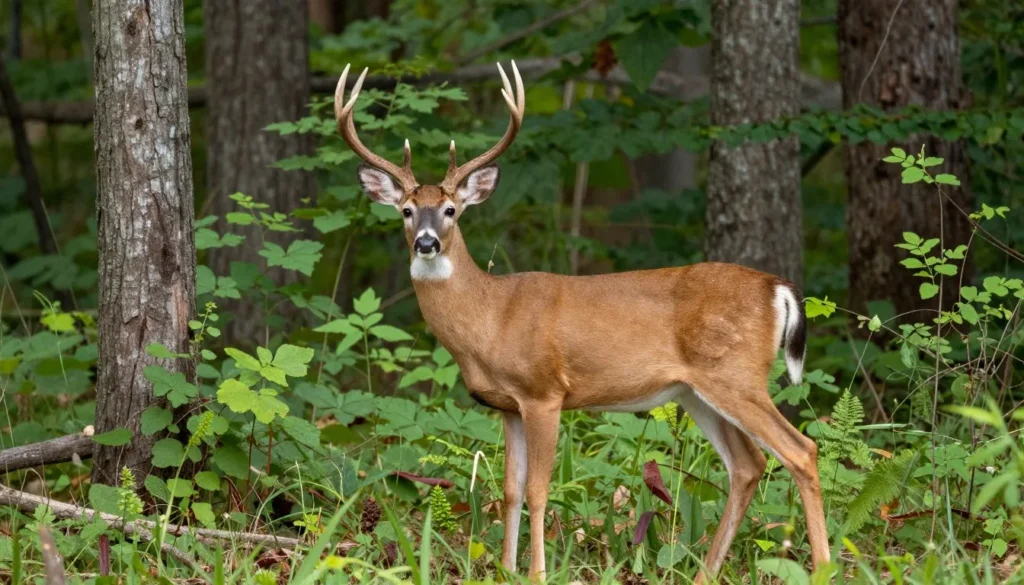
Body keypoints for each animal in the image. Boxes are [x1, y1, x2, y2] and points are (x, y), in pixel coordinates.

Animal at [334, 61, 830, 583]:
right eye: (406, 211)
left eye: (451, 210)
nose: (426, 242)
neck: (490, 317)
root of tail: (777, 288)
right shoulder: (506, 405)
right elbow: (510, 490)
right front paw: (506, 569)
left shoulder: (544, 392)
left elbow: (537, 489)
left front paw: (536, 573)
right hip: (697, 392)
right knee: (748, 465)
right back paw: (706, 573)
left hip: (736, 375)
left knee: (801, 451)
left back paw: (823, 565)